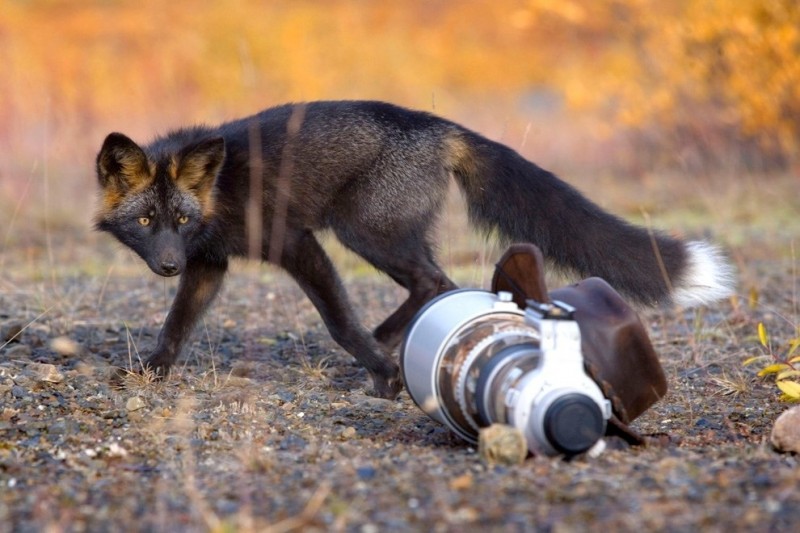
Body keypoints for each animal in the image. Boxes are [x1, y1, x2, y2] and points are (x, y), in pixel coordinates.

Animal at [95, 101, 736, 400]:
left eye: (179, 219)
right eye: (149, 221)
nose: (167, 264)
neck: (220, 192)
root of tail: (438, 125)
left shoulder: (297, 243)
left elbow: (339, 322)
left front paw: (382, 375)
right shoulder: (208, 263)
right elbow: (176, 326)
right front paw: (150, 373)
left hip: (364, 232)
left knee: (437, 283)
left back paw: (383, 349)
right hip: (379, 236)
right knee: (434, 284)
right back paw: (388, 337)